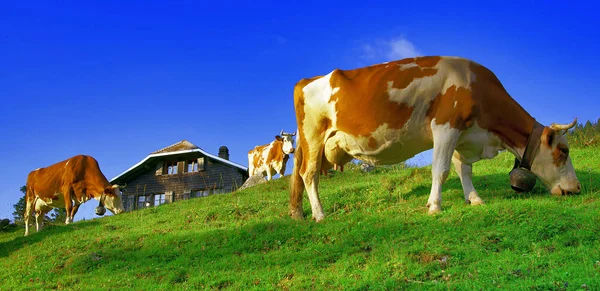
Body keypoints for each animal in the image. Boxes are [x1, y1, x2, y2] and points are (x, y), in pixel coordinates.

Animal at [290, 56, 580, 222]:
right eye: (564, 150)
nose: (577, 188)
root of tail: (308, 80)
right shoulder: (445, 127)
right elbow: (440, 170)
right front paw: (434, 206)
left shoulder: (463, 134)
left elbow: (464, 170)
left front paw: (474, 199)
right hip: (314, 137)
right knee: (308, 174)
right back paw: (319, 214)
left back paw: (299, 213)